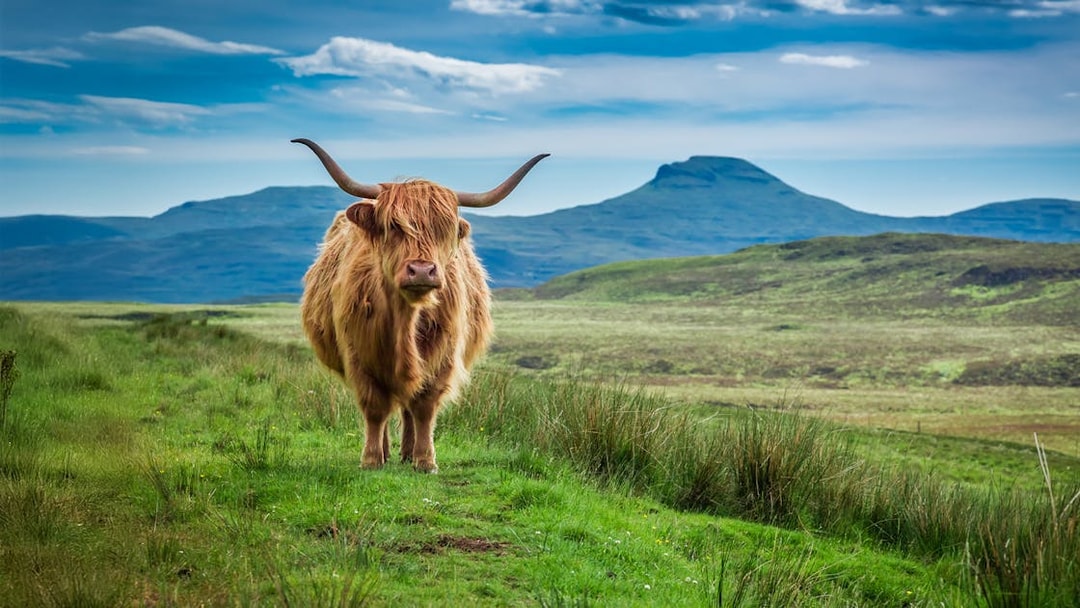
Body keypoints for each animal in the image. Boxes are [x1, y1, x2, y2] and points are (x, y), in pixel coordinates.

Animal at [293, 138, 548, 473]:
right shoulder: (358, 354)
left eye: (444, 229)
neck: (405, 321)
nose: (423, 271)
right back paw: (388, 451)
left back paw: (407, 452)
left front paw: (425, 461)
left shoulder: (443, 356)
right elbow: (375, 407)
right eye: (393, 226)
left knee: (408, 407)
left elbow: (424, 406)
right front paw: (372, 459)